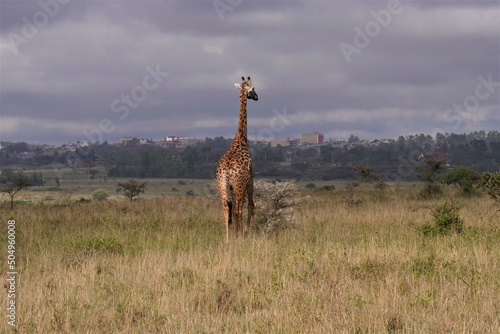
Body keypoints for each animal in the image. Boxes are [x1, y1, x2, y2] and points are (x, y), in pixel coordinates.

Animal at [217, 77, 260, 241]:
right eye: (252, 88)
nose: (256, 97)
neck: (241, 138)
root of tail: (227, 170)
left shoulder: (231, 186)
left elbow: (233, 208)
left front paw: (237, 234)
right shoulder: (250, 178)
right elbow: (251, 205)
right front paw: (244, 234)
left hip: (222, 185)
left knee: (226, 208)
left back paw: (228, 239)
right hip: (239, 184)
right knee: (239, 209)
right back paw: (239, 237)